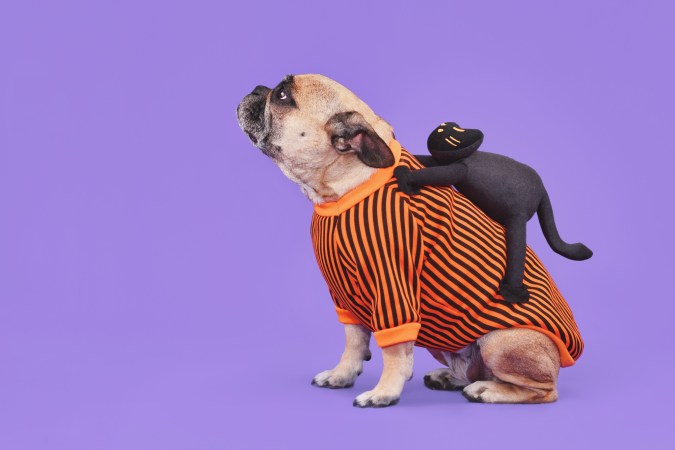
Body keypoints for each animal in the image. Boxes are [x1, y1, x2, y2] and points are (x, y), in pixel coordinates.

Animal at [236, 74, 580, 408]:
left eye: (282, 96)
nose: (257, 88)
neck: (345, 189)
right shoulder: (344, 295)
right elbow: (353, 340)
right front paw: (342, 373)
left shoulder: (393, 288)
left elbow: (393, 349)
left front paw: (384, 392)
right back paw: (452, 378)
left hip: (500, 342)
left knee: (543, 391)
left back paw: (489, 391)